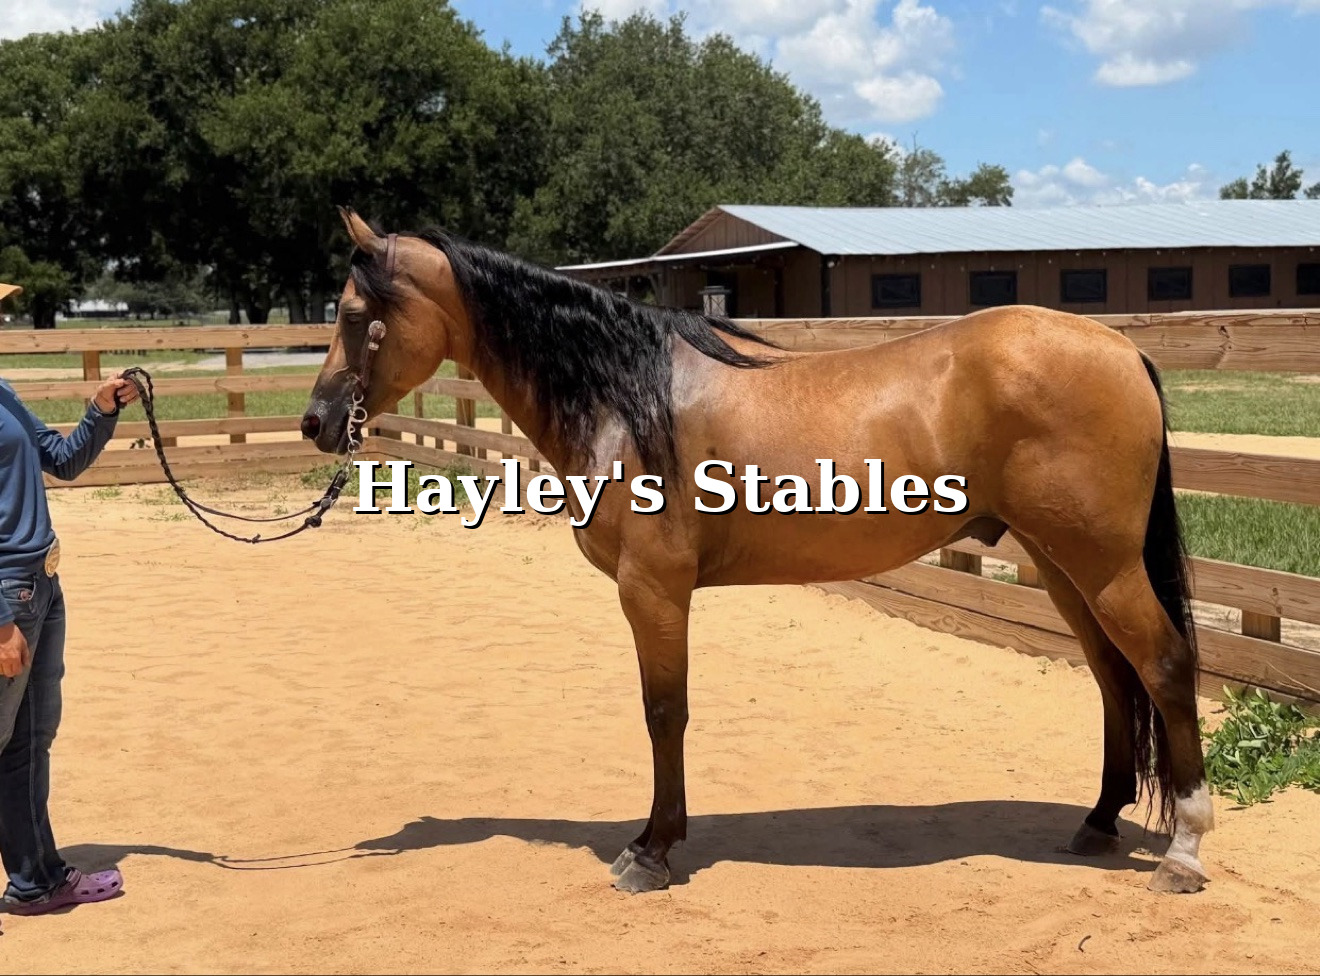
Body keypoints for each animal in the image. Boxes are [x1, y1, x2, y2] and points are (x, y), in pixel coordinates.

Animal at [300, 206, 1213, 897]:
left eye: (352, 314)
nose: (315, 422)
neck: (630, 397)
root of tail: (1122, 348)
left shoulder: (653, 590)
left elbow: (664, 713)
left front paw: (652, 850)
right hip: (1061, 565)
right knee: (1113, 677)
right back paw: (1098, 820)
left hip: (1099, 564)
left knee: (1163, 665)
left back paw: (1184, 850)